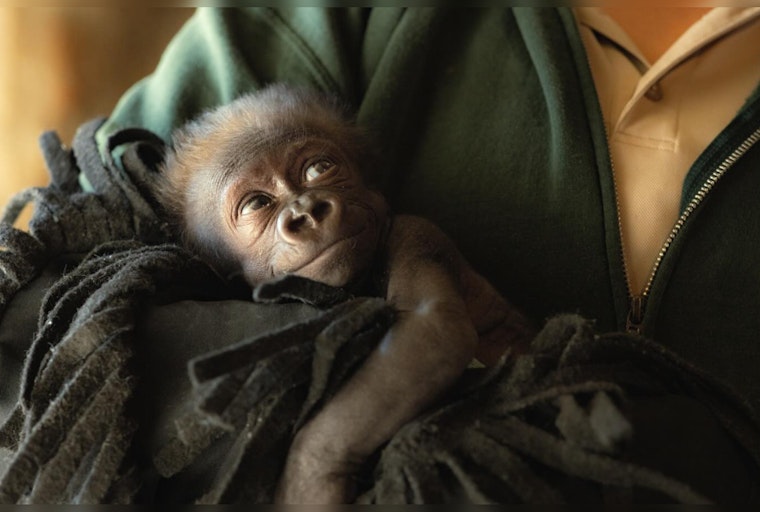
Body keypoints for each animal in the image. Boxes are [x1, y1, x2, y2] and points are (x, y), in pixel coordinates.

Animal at [157, 84, 533, 503]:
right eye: (257, 203)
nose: (307, 211)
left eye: (318, 169)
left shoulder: (415, 234)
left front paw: (311, 476)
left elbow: (433, 331)